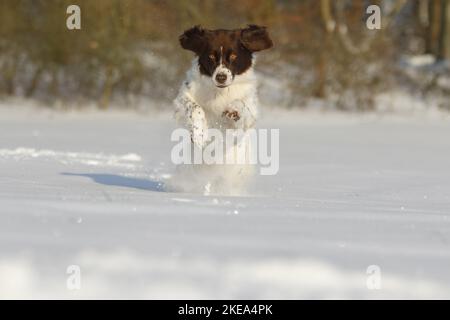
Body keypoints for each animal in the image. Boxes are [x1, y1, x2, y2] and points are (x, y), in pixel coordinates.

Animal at [172, 23, 272, 194]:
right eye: (211, 57)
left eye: (233, 57)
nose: (221, 77)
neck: (220, 92)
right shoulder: (183, 97)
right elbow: (195, 108)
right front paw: (200, 134)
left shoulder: (250, 111)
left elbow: (242, 106)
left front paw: (233, 110)